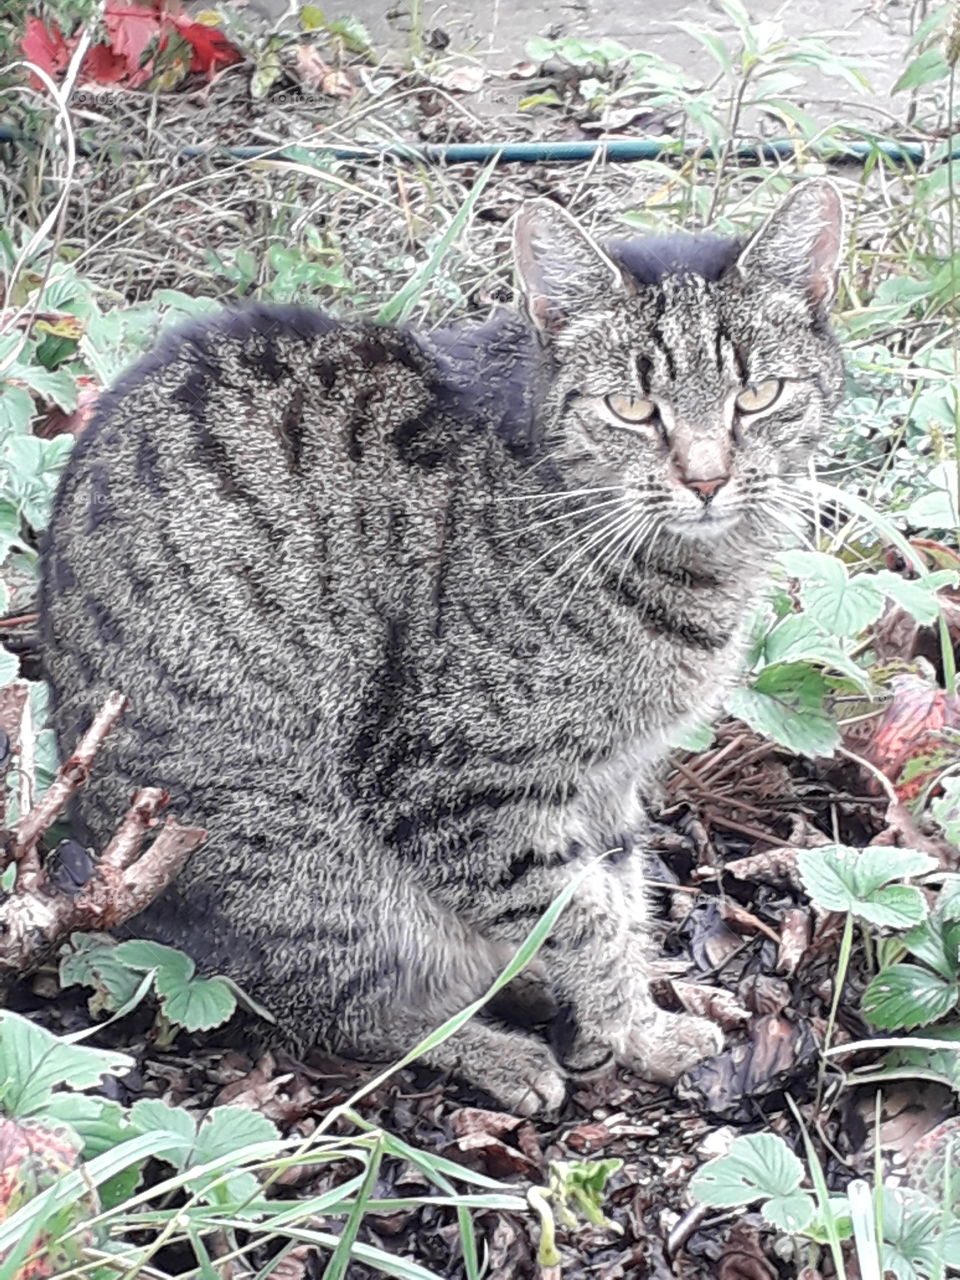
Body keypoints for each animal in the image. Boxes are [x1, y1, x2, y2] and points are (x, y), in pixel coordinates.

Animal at [41, 177, 844, 1111]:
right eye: (633, 408)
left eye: (760, 396)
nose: (707, 478)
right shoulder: (456, 784)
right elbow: (583, 918)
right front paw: (636, 1028)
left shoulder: (610, 779)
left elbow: (618, 890)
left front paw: (634, 1004)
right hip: (302, 864)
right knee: (340, 1013)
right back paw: (500, 1052)